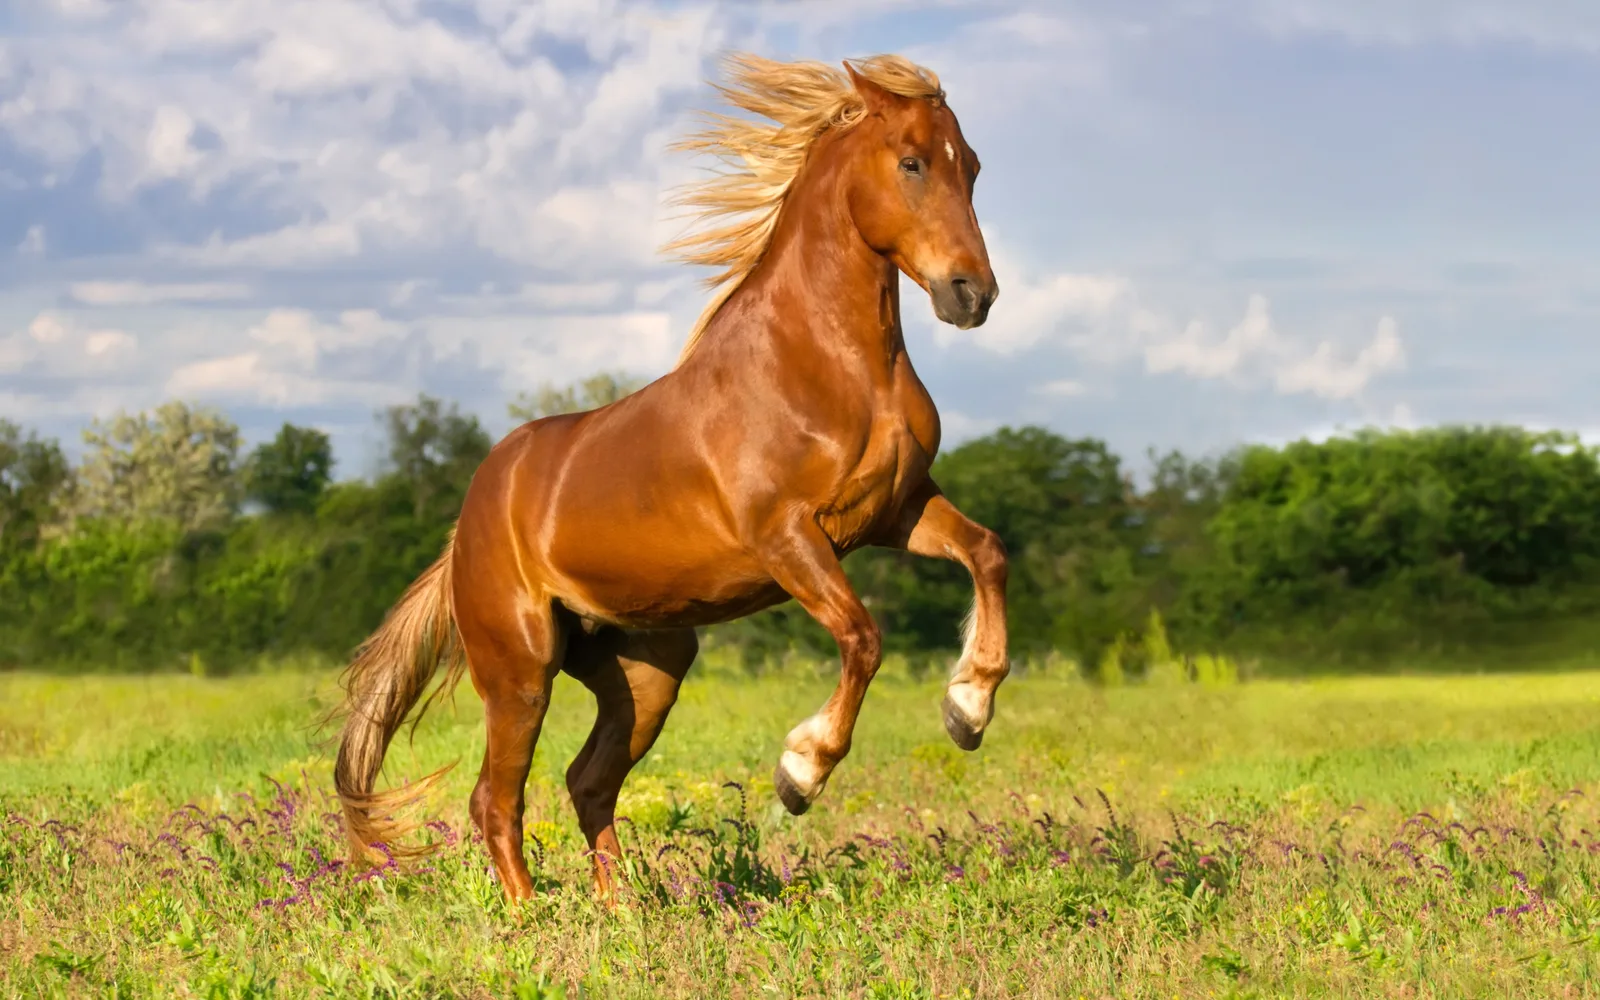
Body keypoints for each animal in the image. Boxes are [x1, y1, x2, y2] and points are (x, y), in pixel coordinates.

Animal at [332, 51, 1009, 904]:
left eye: (974, 167)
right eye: (913, 162)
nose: (972, 295)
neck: (827, 366)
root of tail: (467, 525)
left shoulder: (898, 511)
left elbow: (986, 553)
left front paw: (969, 708)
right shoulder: (789, 538)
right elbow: (863, 636)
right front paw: (801, 772)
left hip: (647, 670)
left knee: (587, 782)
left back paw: (621, 911)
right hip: (520, 670)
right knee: (496, 797)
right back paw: (528, 917)